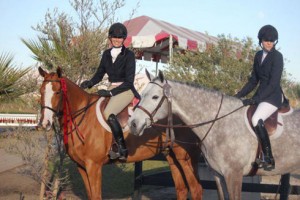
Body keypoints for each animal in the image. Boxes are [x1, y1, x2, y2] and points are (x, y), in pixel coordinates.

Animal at [37, 67, 202, 200]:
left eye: (58, 92)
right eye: (41, 91)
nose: (45, 122)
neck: (82, 117)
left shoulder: (94, 166)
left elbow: (96, 196)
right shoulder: (82, 166)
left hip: (186, 157)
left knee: (196, 189)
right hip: (171, 156)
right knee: (182, 189)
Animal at [129, 70, 300, 198]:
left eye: (155, 97)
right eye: (141, 94)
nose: (133, 124)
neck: (220, 123)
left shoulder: (234, 175)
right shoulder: (218, 175)